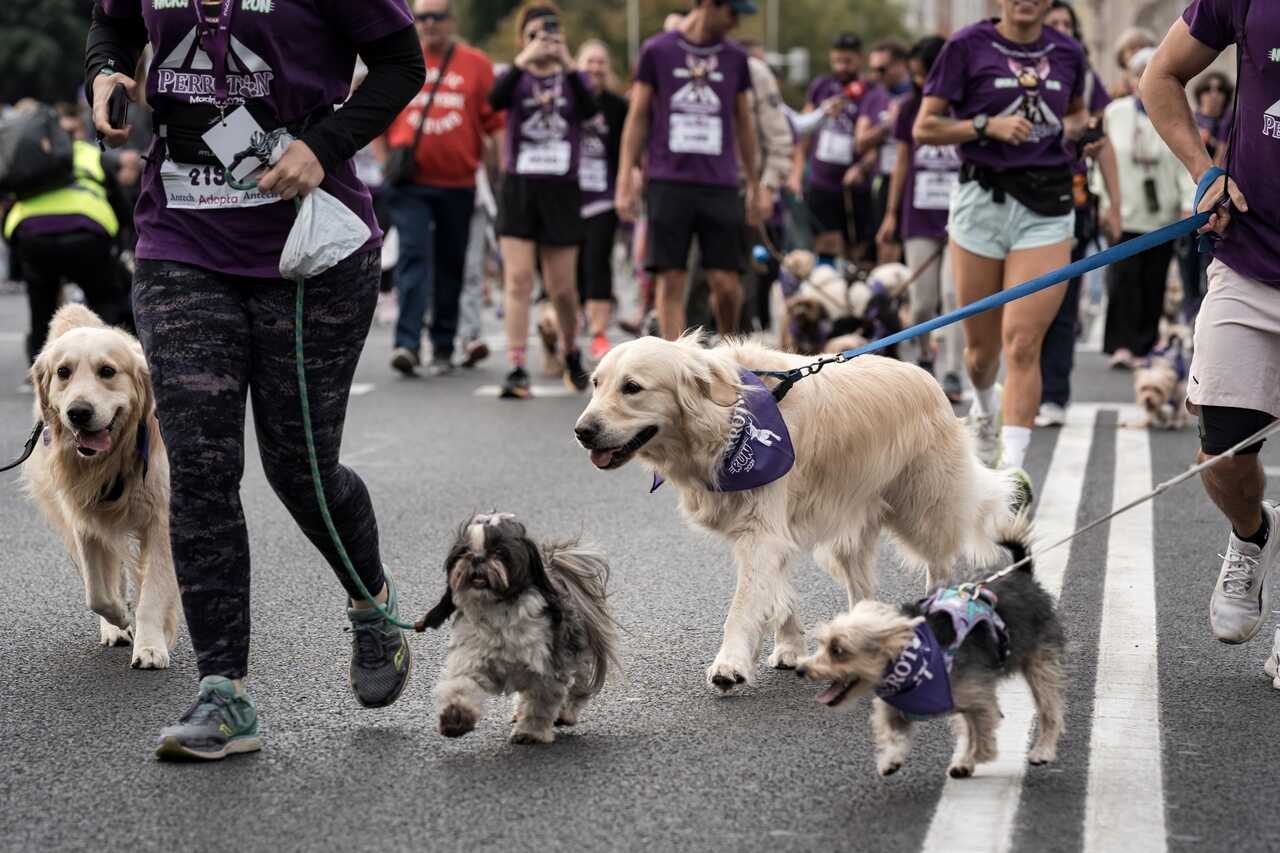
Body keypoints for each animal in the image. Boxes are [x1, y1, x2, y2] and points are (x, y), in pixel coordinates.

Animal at [22, 304, 178, 669]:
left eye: (107, 371)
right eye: (63, 372)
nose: (78, 412)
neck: (113, 459)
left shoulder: (161, 521)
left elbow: (153, 592)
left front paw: (151, 645)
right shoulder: (84, 518)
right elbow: (96, 592)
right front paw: (120, 617)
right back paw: (116, 627)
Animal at [418, 513, 620, 744]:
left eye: (499, 551)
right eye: (464, 551)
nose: (476, 558)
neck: (498, 609)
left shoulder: (546, 667)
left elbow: (540, 704)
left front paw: (529, 733)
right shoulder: (473, 656)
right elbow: (461, 684)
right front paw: (455, 718)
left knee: (576, 686)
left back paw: (564, 714)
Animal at [574, 334, 1026, 692]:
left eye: (632, 387)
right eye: (596, 384)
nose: (581, 432)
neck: (726, 422)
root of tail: (928, 380)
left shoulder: (763, 532)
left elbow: (743, 606)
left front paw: (730, 664)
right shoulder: (774, 531)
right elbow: (779, 595)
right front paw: (790, 647)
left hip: (923, 510)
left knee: (940, 564)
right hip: (849, 532)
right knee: (862, 585)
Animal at [795, 519, 1066, 780]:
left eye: (838, 650)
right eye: (822, 645)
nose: (800, 669)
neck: (915, 658)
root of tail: (1022, 575)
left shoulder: (975, 696)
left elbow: (981, 733)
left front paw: (974, 756)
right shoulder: (905, 703)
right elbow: (892, 728)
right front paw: (892, 758)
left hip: (1039, 663)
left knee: (1049, 709)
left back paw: (1042, 750)